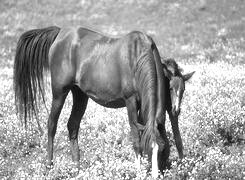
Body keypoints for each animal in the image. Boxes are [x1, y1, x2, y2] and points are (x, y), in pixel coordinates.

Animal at [13, 26, 169, 178]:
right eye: (148, 150)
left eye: (162, 149)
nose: (156, 175)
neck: (137, 56)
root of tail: (60, 33)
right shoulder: (130, 101)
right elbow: (136, 139)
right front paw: (139, 172)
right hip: (59, 92)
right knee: (52, 125)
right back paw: (49, 166)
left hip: (80, 95)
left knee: (72, 125)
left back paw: (77, 169)